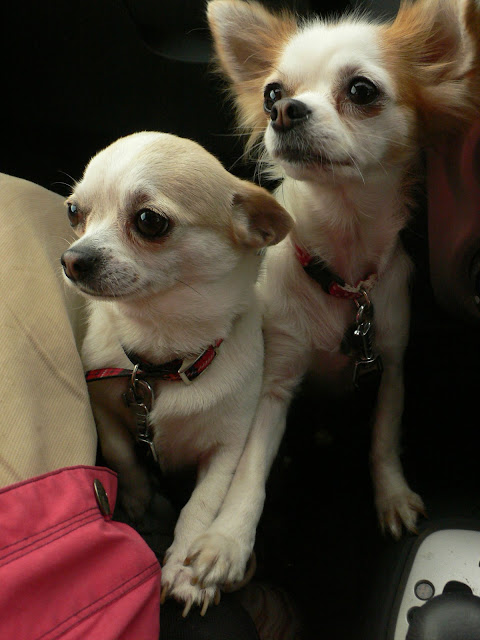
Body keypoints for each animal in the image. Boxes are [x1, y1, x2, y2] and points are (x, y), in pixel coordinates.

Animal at [60, 131, 292, 613]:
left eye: (149, 220)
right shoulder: (104, 404)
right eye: (74, 211)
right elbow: (121, 453)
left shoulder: (227, 450)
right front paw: (136, 499)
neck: (162, 360)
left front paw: (185, 573)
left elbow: (201, 506)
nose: (72, 259)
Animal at [207, 0, 478, 540]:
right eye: (271, 93)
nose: (283, 110)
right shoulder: (277, 380)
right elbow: (250, 466)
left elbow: (383, 439)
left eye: (361, 90)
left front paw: (392, 495)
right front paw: (226, 540)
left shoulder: (390, 365)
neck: (343, 276)